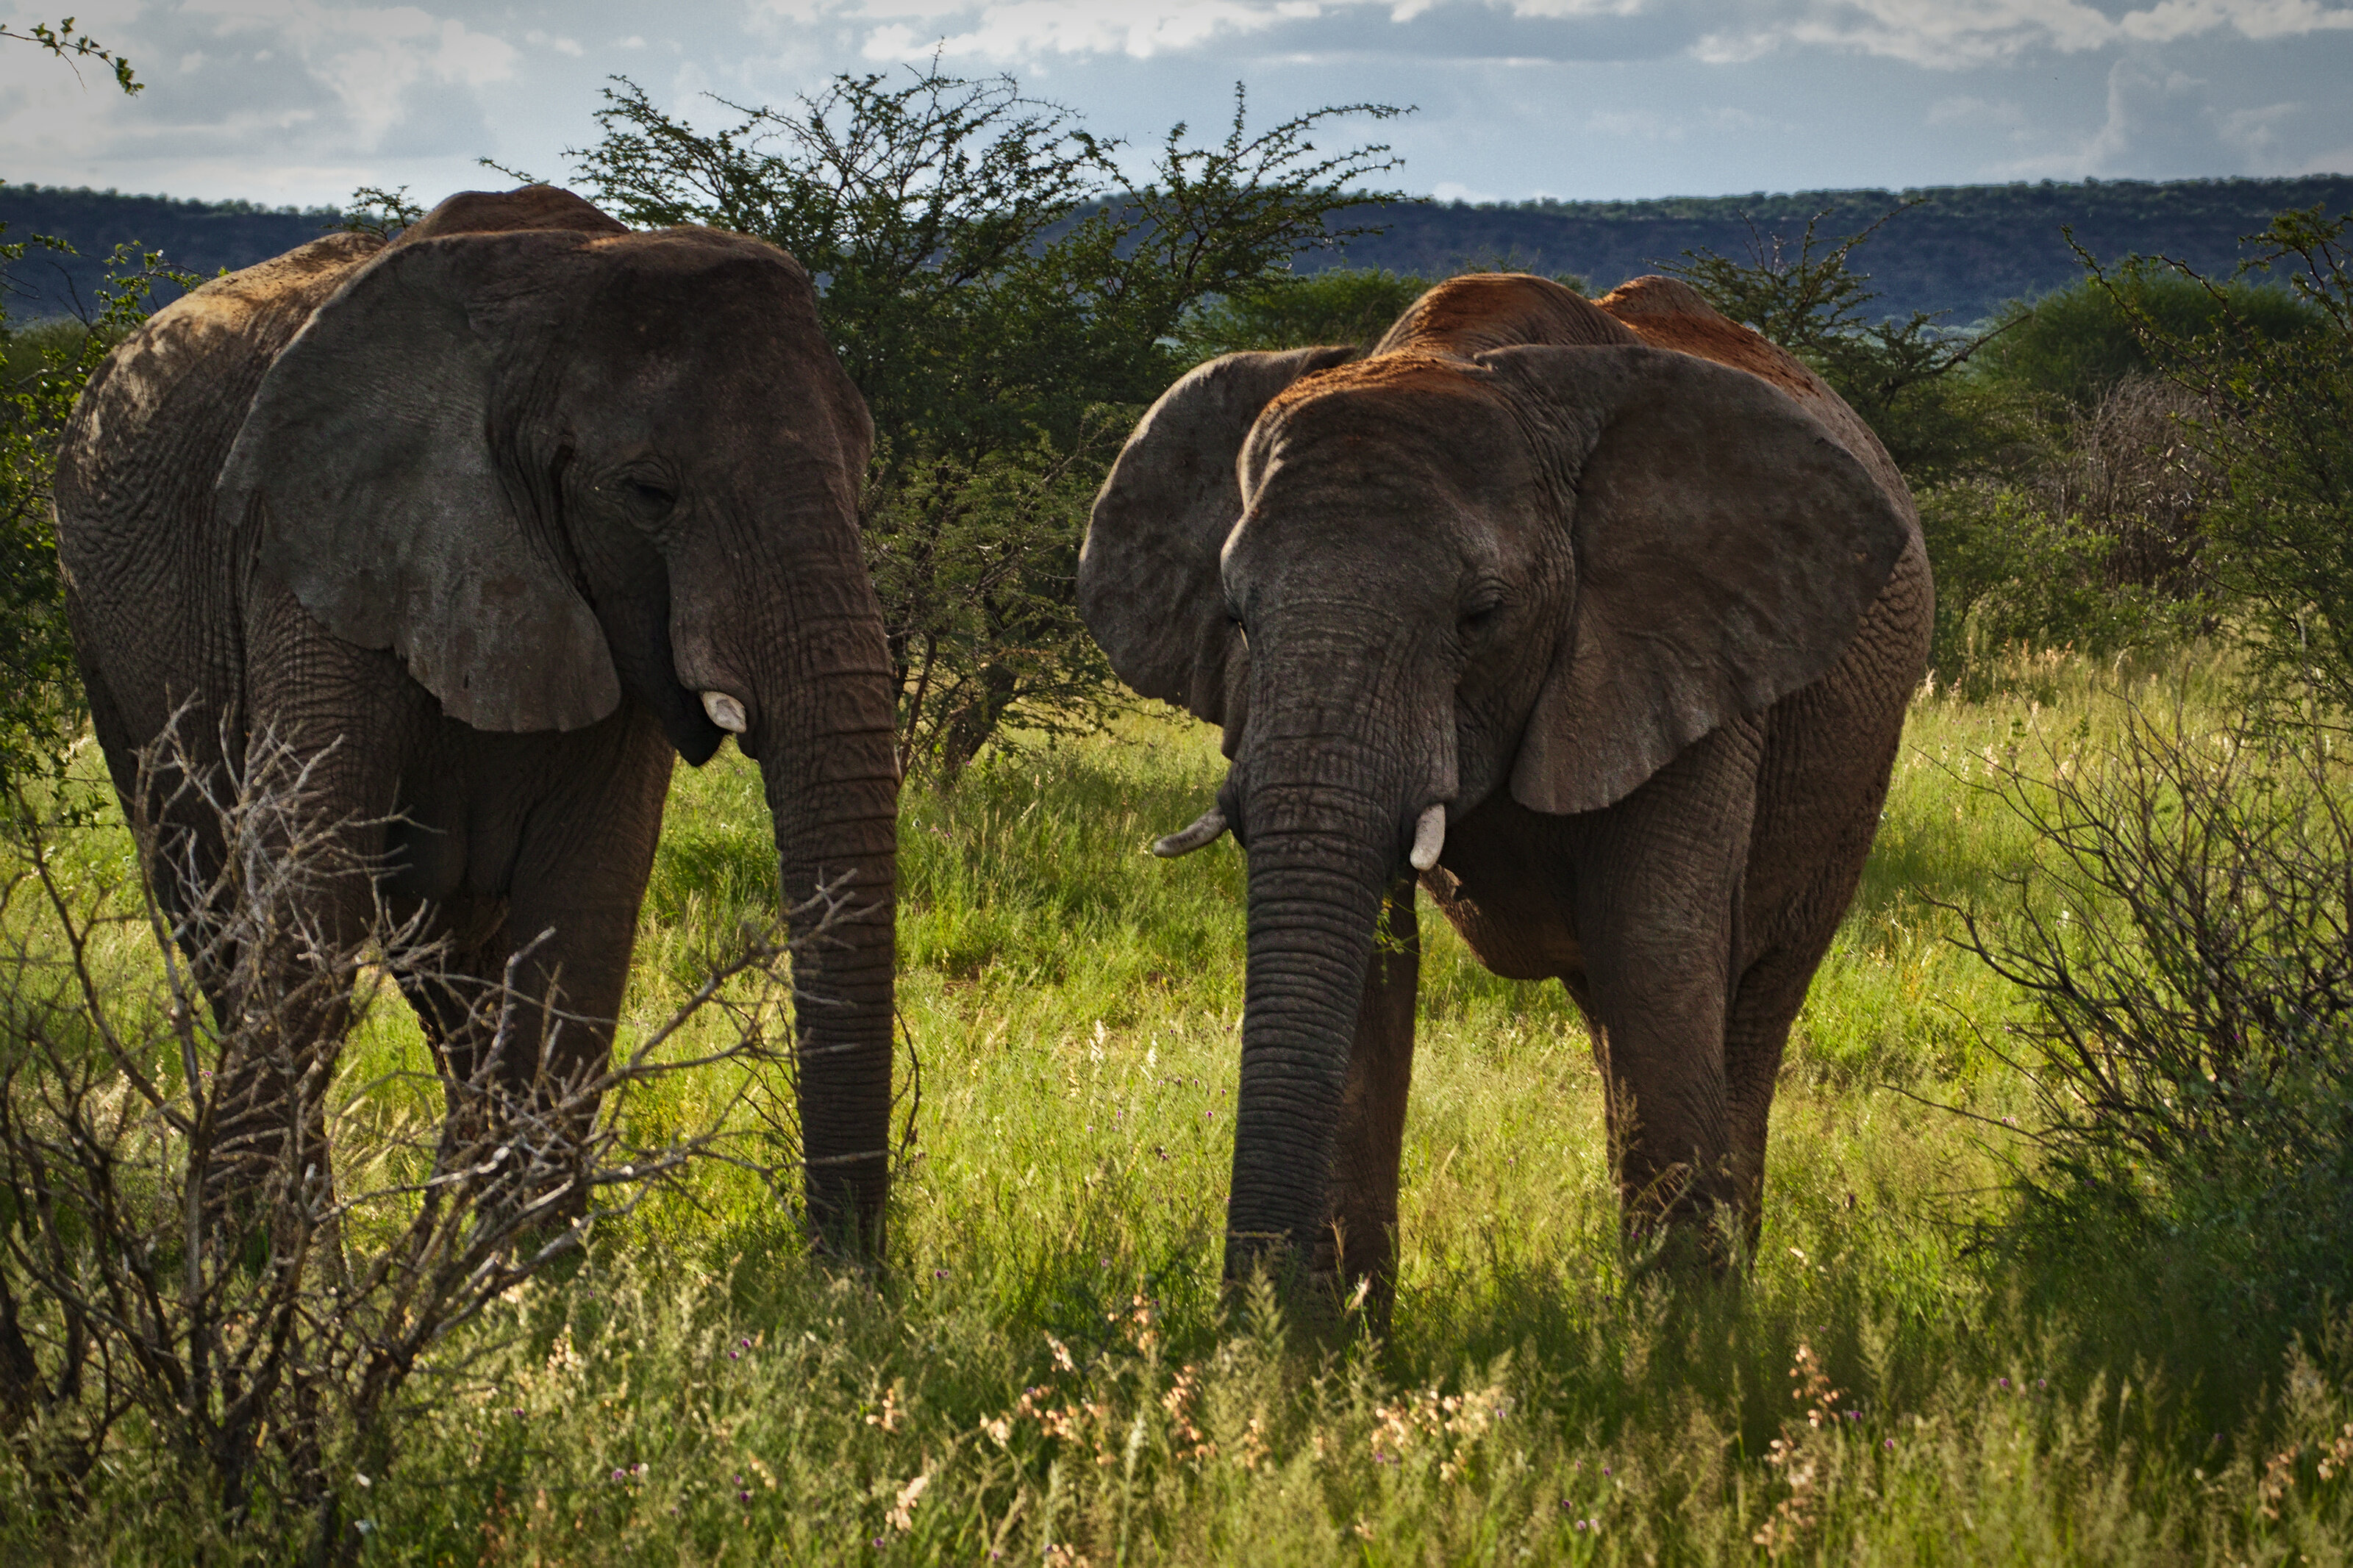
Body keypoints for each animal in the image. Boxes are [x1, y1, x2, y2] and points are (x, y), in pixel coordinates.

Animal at [53, 185, 898, 1250]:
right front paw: (243, 1266)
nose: (841, 1270)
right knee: (212, 904)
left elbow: (586, 904)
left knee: (451, 968)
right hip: (105, 640)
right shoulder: (320, 545)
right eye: (648, 492)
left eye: (863, 468)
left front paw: (531, 1268)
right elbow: (312, 890)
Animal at [1078, 271, 1930, 1305]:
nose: (1238, 1312)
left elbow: (1653, 950)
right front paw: (1326, 1338)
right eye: (1235, 617)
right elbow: (1368, 965)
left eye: (1480, 615)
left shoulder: (1688, 654)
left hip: (1849, 782)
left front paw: (1689, 1344)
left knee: (1743, 1009)